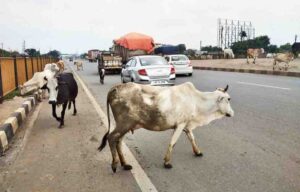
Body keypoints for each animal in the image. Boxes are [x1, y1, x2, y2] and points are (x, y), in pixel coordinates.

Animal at [98, 82, 234, 172]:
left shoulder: (186, 125)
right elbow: (173, 142)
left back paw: (125, 164)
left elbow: (192, 138)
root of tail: (115, 88)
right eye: (228, 99)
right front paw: (167, 162)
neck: (196, 101)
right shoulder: (180, 124)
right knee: (111, 138)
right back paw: (114, 164)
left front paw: (198, 152)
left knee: (118, 141)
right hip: (124, 125)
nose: (232, 113)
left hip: (126, 126)